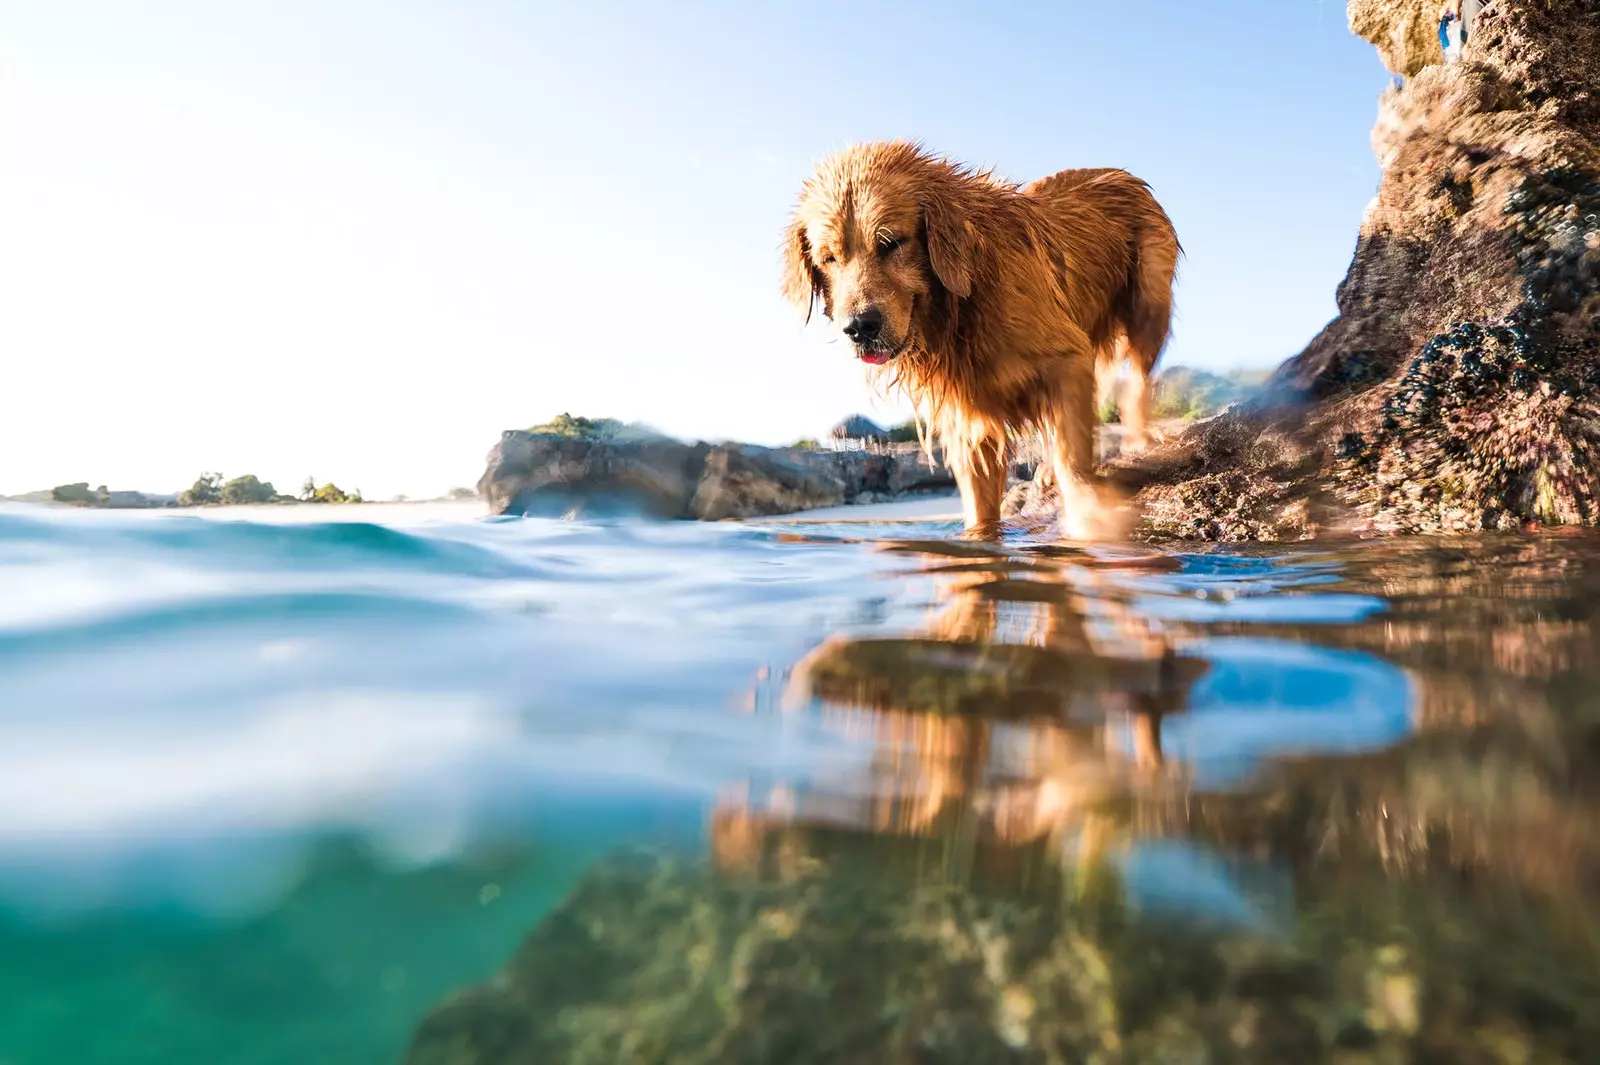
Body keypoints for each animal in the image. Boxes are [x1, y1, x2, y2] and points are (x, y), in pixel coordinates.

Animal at [780, 139, 1184, 534]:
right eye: (828, 258)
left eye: (891, 243)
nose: (860, 327)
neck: (961, 307)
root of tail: (1121, 173)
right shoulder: (968, 418)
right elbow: (980, 506)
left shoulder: (1067, 358)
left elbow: (1072, 454)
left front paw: (1090, 517)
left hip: (1148, 303)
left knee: (1135, 381)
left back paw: (1137, 439)